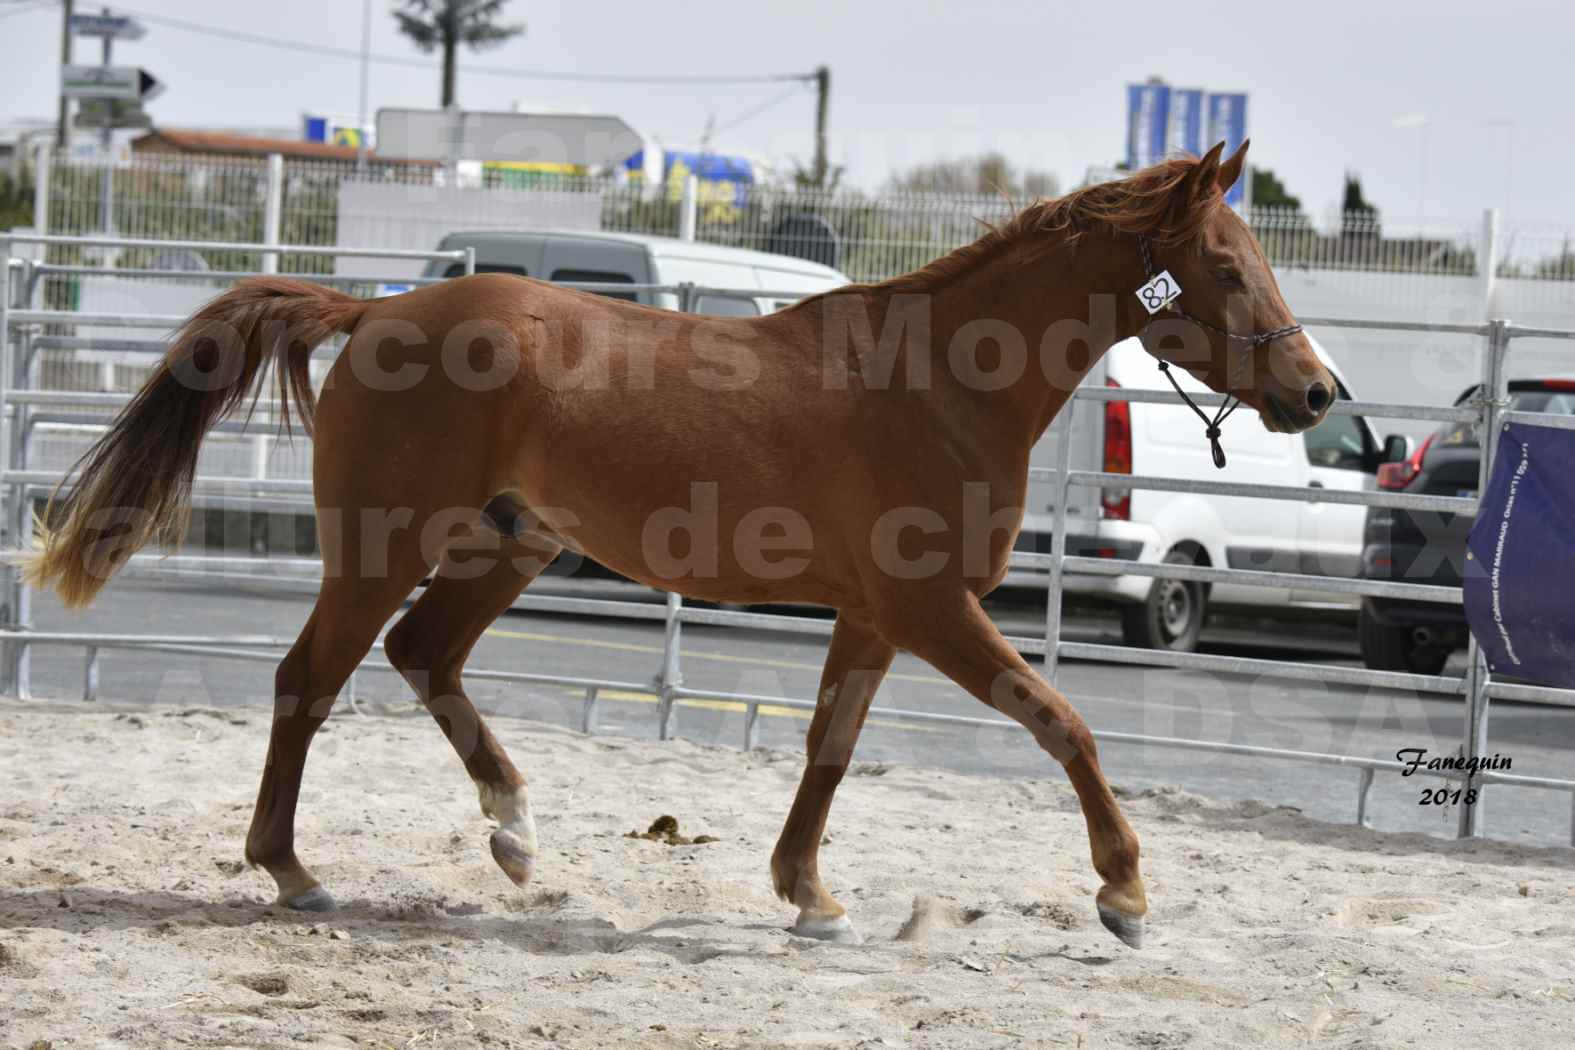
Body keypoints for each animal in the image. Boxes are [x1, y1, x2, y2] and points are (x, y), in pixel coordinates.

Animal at [24, 135, 1329, 950]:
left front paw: (810, 897)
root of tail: (379, 308)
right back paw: (294, 871)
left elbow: (829, 751)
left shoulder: (875, 616)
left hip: (506, 546)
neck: (938, 381)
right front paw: (1126, 893)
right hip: (382, 546)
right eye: (1225, 266)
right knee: (310, 678)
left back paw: (514, 833)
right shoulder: (931, 609)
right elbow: (1062, 721)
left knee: (422, 657)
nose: (1317, 392)